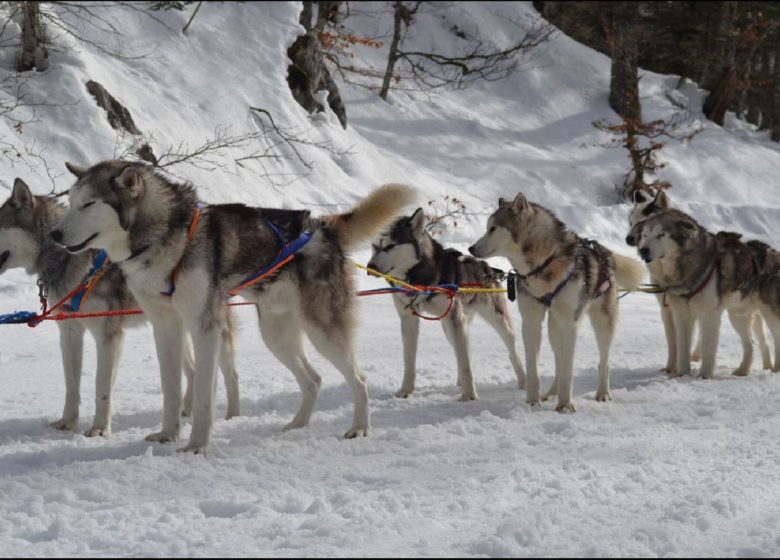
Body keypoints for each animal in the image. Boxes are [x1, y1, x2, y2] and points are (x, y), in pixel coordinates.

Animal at [0, 179, 238, 438]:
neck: (70, 260)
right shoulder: (70, 333)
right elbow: (71, 385)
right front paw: (68, 423)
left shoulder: (108, 335)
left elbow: (101, 386)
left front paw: (99, 429)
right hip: (174, 327)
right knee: (194, 371)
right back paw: (187, 410)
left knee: (230, 374)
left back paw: (232, 416)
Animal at [50, 160, 414, 452]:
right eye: (72, 203)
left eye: (89, 204)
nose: (54, 234)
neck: (164, 236)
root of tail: (322, 227)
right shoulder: (166, 327)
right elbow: (171, 390)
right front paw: (168, 435)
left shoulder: (204, 327)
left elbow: (203, 395)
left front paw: (197, 446)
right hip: (277, 336)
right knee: (313, 380)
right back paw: (297, 424)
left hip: (323, 331)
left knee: (360, 380)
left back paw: (360, 428)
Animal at [366, 209, 524, 398]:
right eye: (374, 246)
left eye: (390, 246)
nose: (370, 267)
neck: (418, 277)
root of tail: (487, 268)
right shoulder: (409, 319)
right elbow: (409, 361)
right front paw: (405, 390)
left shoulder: (455, 319)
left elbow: (465, 364)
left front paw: (469, 396)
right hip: (449, 327)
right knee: (462, 351)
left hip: (496, 321)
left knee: (511, 352)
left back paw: (523, 380)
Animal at [466, 195, 644, 410]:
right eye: (487, 227)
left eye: (493, 228)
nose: (470, 248)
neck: (544, 264)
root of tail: (604, 251)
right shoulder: (531, 322)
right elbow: (533, 369)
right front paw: (533, 401)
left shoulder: (570, 324)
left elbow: (569, 370)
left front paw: (565, 405)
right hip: (553, 328)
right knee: (558, 363)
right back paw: (551, 393)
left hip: (602, 323)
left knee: (603, 361)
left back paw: (602, 393)